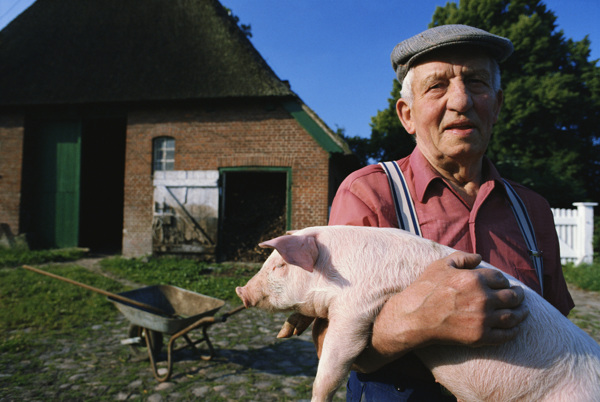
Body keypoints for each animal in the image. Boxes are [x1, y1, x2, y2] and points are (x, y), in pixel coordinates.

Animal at [234, 226, 600, 402]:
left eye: (280, 266)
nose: (241, 291)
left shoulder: (357, 307)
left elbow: (336, 359)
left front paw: (317, 398)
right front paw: (285, 332)